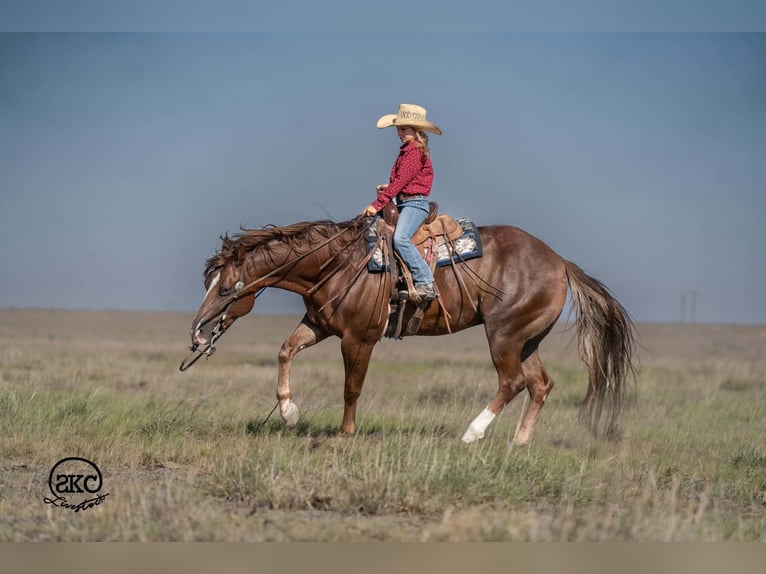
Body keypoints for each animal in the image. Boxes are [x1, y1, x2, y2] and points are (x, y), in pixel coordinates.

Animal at [185, 214, 636, 445]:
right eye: (206, 283)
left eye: (224, 288)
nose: (197, 334)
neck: (340, 263)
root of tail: (560, 262)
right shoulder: (319, 325)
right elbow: (284, 350)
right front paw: (289, 413)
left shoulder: (359, 338)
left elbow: (352, 387)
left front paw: (345, 433)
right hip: (528, 339)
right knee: (540, 384)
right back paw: (519, 442)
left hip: (504, 335)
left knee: (512, 382)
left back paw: (471, 434)